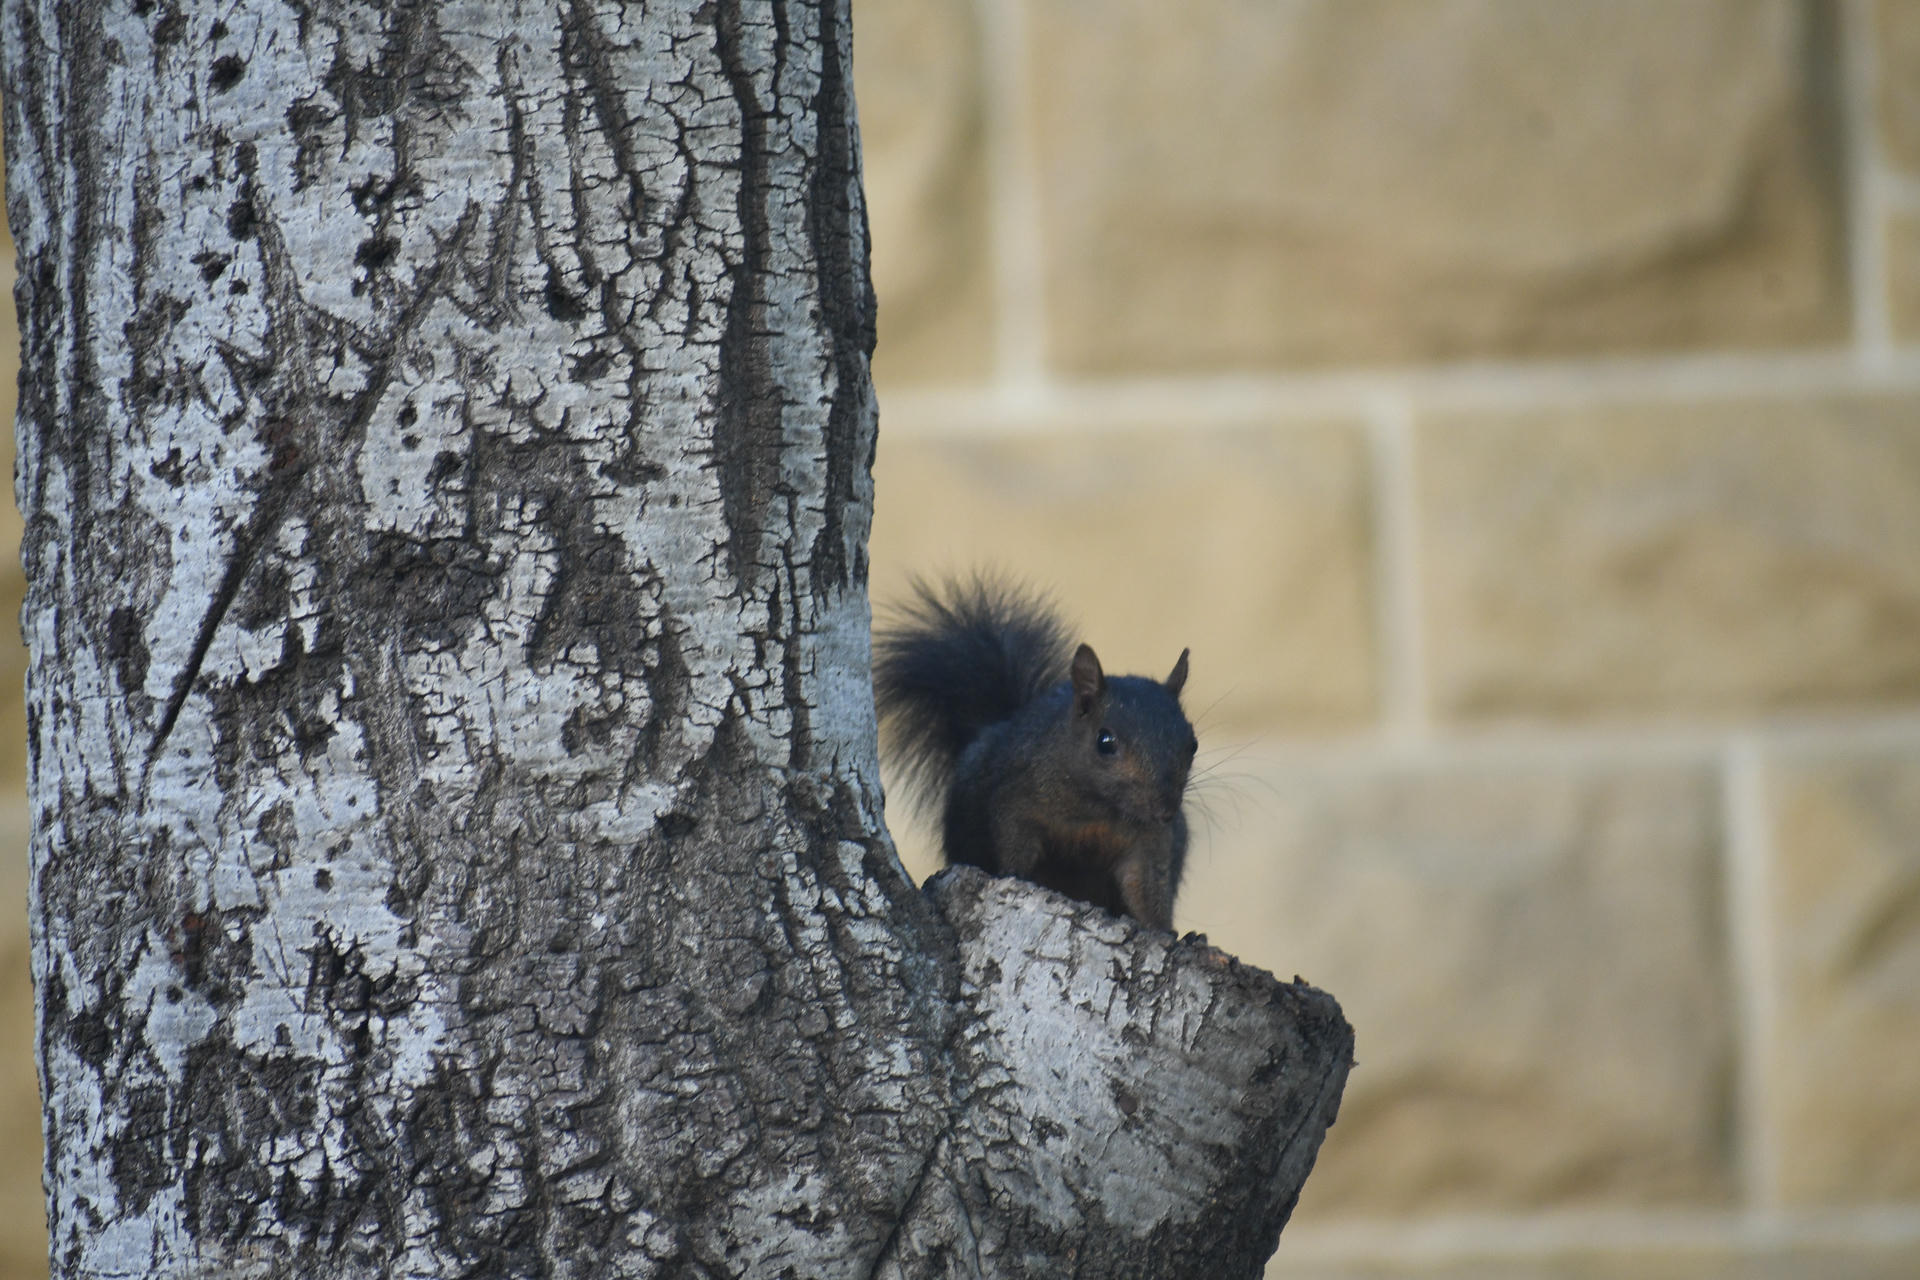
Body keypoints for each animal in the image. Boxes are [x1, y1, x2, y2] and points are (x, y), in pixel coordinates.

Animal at [873, 576, 1197, 931]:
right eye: (1105, 742)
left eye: (1193, 745)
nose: (1166, 810)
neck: (1099, 809)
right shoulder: (1016, 802)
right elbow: (1015, 849)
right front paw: (1016, 876)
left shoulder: (1150, 842)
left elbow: (1146, 889)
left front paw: (1166, 931)